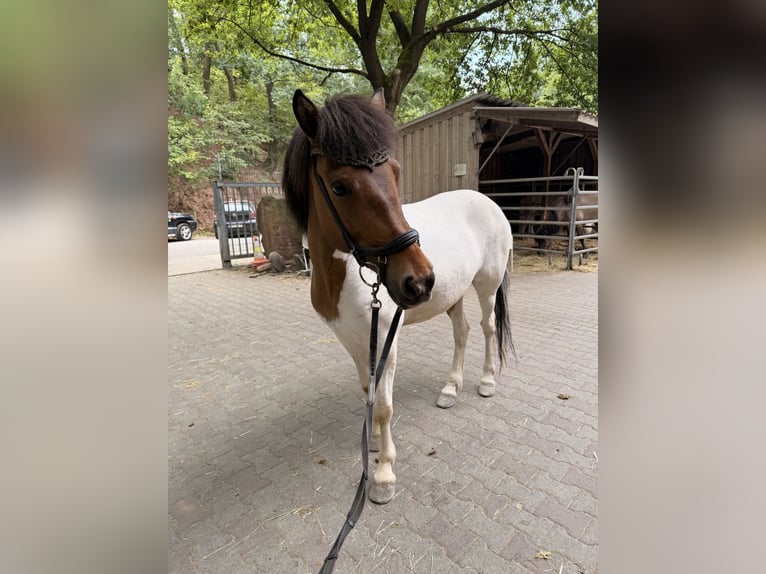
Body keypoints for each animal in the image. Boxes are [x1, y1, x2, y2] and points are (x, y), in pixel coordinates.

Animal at [283, 89, 514, 504]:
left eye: (394, 172)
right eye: (339, 186)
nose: (418, 280)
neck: (342, 274)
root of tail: (488, 203)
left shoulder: (387, 340)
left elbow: (385, 406)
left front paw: (383, 474)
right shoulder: (354, 340)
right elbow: (368, 392)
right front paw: (372, 442)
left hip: (487, 286)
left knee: (488, 328)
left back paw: (486, 382)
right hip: (452, 294)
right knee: (463, 332)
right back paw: (450, 389)